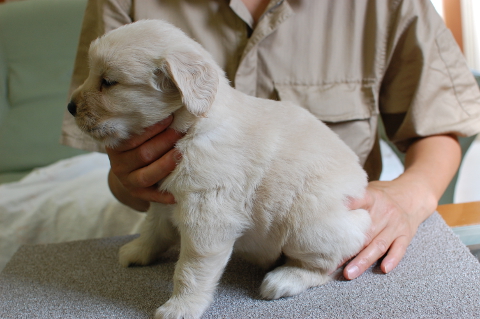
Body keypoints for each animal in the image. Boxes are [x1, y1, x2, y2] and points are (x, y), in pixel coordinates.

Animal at [68, 20, 372, 319]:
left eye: (108, 82)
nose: (70, 107)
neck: (192, 127)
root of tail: (360, 189)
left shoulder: (207, 214)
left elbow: (191, 268)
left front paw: (181, 306)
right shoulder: (164, 198)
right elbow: (153, 228)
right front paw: (138, 251)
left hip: (306, 224)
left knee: (327, 265)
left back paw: (284, 279)